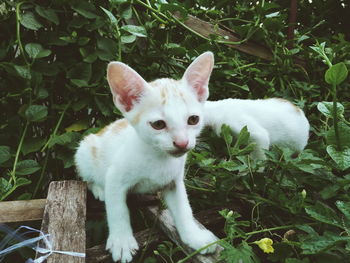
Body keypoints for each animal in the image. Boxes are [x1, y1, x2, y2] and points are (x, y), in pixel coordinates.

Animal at [75, 52, 217, 262]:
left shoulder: (174, 181)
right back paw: (99, 188)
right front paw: (122, 241)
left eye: (193, 120)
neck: (158, 158)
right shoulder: (115, 177)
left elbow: (184, 209)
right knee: (88, 177)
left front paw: (194, 237)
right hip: (84, 151)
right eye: (158, 124)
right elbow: (117, 209)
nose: (182, 143)